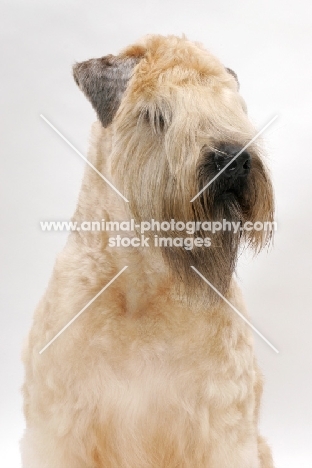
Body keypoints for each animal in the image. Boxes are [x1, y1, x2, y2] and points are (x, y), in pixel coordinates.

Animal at [22, 34, 274, 466]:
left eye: (233, 108)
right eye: (157, 114)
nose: (233, 160)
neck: (143, 285)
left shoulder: (224, 425)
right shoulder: (59, 425)